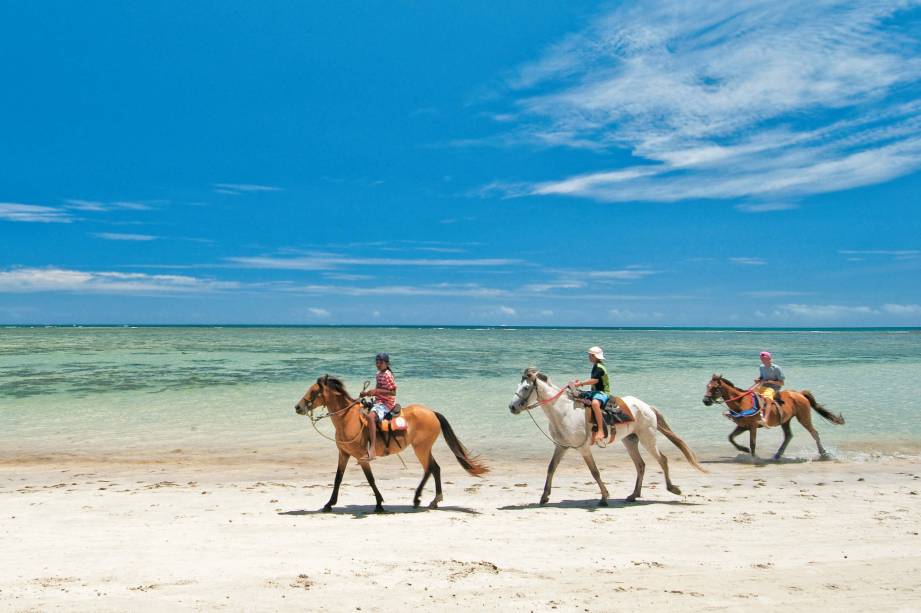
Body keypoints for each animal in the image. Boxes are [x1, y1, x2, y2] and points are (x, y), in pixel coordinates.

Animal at [294, 372, 488, 512]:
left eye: (313, 391)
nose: (297, 407)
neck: (348, 419)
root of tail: (432, 412)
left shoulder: (362, 457)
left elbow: (370, 479)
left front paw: (379, 504)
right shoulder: (344, 454)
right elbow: (337, 479)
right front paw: (329, 504)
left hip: (421, 448)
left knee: (431, 468)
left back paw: (429, 499)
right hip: (422, 448)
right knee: (433, 469)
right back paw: (424, 499)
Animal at [510, 366, 704, 504]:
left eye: (526, 387)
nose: (512, 407)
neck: (563, 412)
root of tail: (647, 406)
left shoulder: (583, 448)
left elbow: (594, 472)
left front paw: (604, 497)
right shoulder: (561, 446)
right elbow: (551, 468)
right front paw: (544, 497)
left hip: (647, 439)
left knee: (662, 459)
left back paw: (673, 489)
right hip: (630, 441)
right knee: (640, 465)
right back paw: (634, 495)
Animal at [700, 372, 844, 460]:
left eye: (714, 387)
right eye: (707, 386)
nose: (705, 401)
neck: (741, 402)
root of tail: (800, 394)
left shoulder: (752, 426)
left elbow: (752, 443)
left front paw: (753, 457)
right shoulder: (743, 426)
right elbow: (731, 438)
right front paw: (744, 449)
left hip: (804, 418)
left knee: (814, 433)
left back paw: (823, 454)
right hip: (786, 421)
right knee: (788, 436)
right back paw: (777, 455)